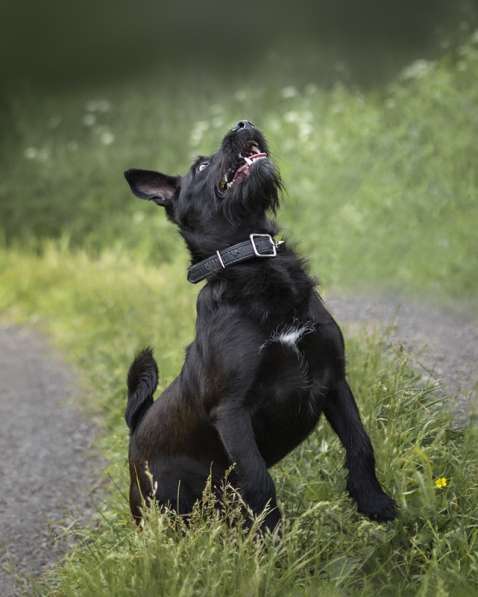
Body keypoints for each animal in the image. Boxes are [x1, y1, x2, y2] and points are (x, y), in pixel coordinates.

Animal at [123, 118, 396, 528]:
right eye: (201, 167)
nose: (243, 123)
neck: (253, 261)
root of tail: (134, 431)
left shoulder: (334, 379)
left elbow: (360, 443)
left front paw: (373, 503)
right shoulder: (232, 412)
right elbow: (259, 482)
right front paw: (273, 541)